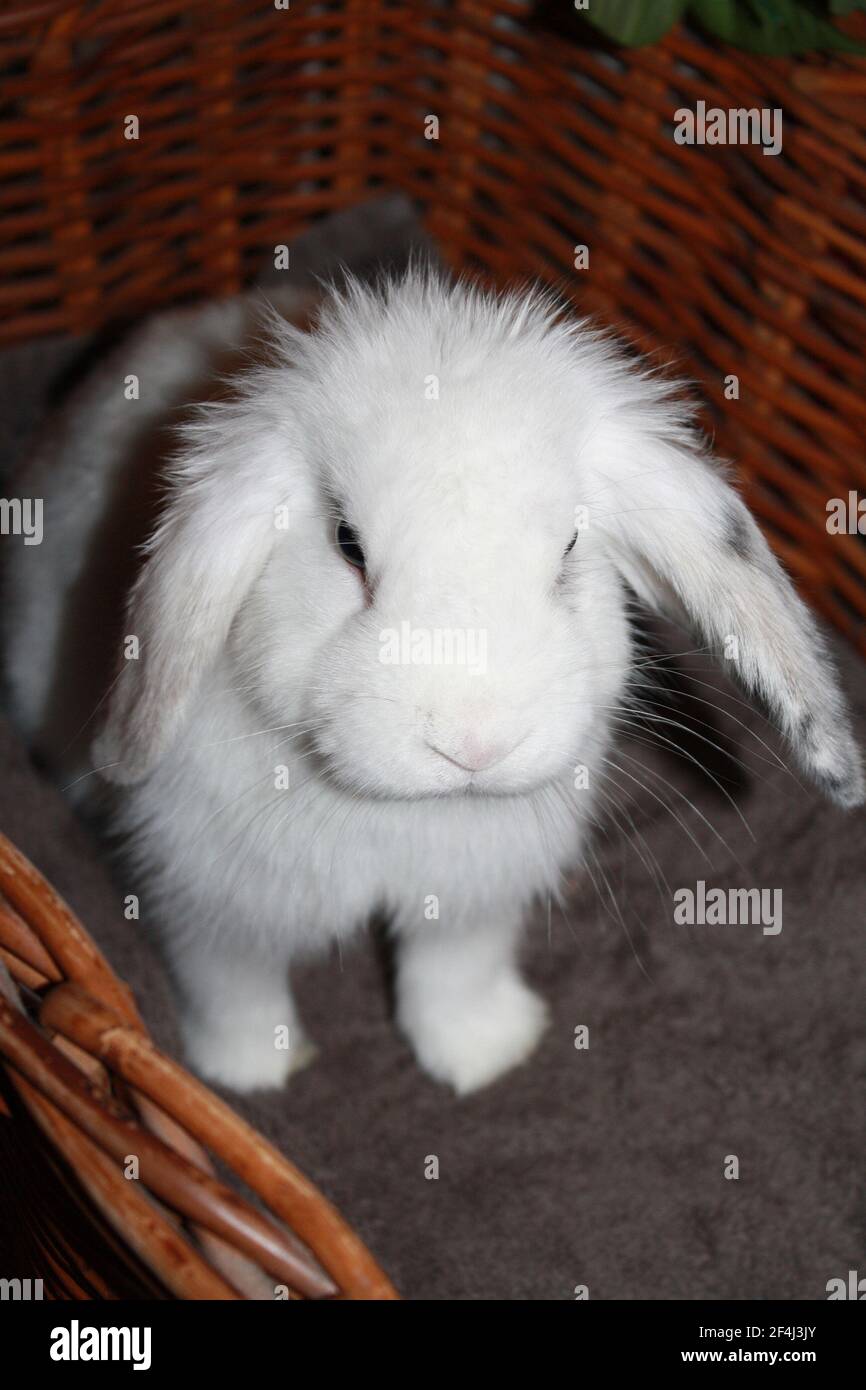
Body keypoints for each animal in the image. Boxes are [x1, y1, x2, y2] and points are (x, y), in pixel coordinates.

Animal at [3, 267, 863, 1095]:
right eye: (346, 544)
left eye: (570, 548)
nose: (475, 745)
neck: (402, 815)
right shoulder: (211, 904)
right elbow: (234, 988)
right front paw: (245, 1075)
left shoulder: (474, 901)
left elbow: (452, 976)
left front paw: (485, 1056)